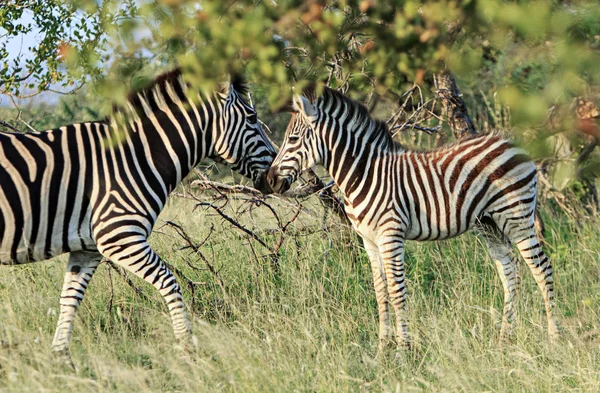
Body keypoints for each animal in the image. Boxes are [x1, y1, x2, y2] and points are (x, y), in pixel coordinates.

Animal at [0, 69, 276, 360]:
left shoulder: (87, 248)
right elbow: (169, 282)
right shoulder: (119, 235)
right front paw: (188, 350)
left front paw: (61, 358)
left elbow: (70, 299)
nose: (276, 176)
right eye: (252, 118)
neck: (137, 157)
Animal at [264, 87, 560, 350]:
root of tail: (511, 142)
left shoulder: (390, 235)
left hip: (516, 215)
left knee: (543, 269)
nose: (269, 180)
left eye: (292, 139)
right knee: (511, 273)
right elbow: (381, 294)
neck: (363, 174)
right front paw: (382, 349)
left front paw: (402, 350)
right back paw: (503, 340)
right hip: (488, 224)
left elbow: (397, 292)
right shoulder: (369, 241)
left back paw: (554, 339)